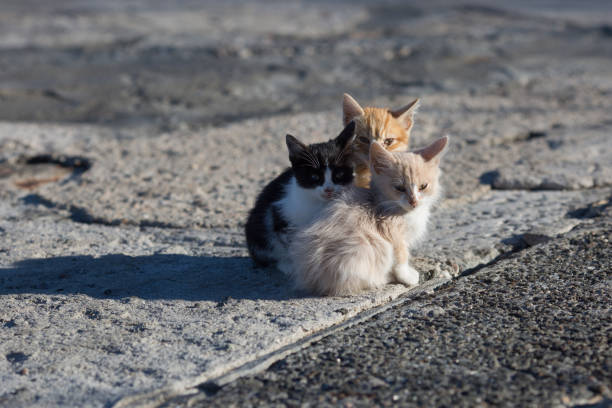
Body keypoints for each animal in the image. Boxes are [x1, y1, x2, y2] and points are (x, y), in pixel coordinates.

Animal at [246, 122, 356, 272]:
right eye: (314, 177)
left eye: (339, 175)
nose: (328, 189)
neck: (318, 203)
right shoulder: (280, 214)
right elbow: (291, 246)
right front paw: (298, 267)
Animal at [286, 135, 450, 294]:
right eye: (399, 188)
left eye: (423, 186)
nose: (414, 201)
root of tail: (311, 280)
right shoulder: (391, 231)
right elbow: (401, 256)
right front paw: (407, 276)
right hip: (365, 248)